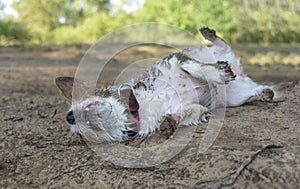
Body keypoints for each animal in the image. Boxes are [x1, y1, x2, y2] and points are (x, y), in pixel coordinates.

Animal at [55, 26, 276, 142]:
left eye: (83, 99)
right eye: (80, 135)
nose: (69, 117)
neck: (139, 107)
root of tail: (241, 72)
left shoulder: (175, 60)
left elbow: (197, 67)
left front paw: (218, 73)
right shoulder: (188, 109)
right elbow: (189, 114)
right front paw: (168, 123)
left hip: (217, 53)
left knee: (224, 45)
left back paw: (210, 36)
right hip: (236, 97)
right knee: (250, 91)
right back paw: (265, 92)